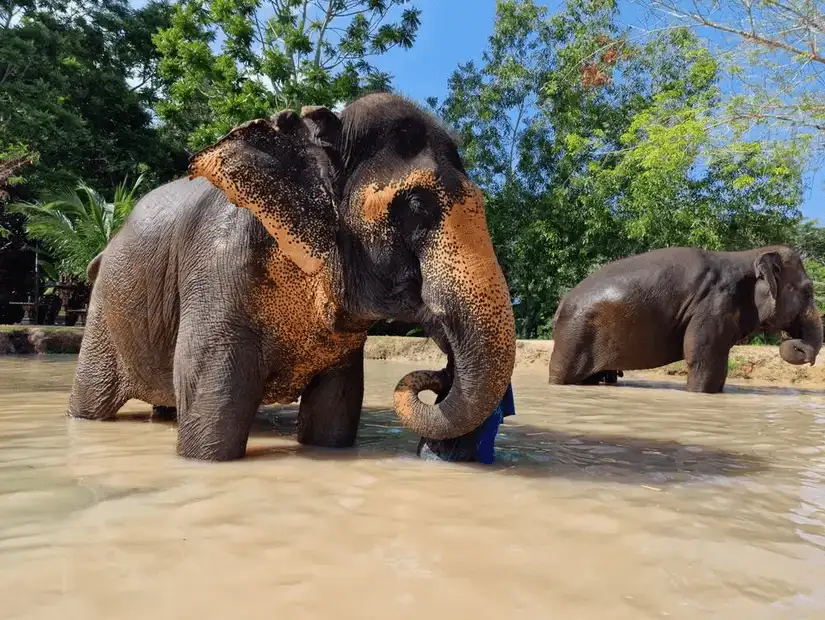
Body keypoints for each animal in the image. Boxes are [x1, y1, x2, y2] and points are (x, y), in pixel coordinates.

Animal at [67, 93, 516, 460]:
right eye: (418, 206)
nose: (441, 372)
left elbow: (334, 414)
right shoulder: (217, 271)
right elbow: (210, 410)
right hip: (104, 315)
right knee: (90, 400)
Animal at [548, 246, 824, 392]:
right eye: (808, 291)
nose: (798, 346)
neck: (749, 255)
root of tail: (562, 301)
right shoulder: (713, 304)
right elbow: (703, 358)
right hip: (574, 334)